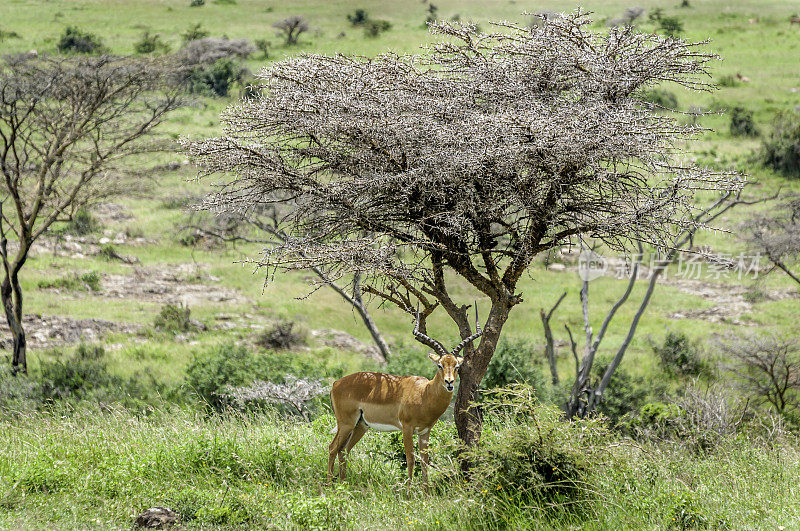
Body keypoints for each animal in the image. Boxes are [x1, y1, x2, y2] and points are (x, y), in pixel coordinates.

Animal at [324, 306, 482, 488]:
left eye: (456, 366)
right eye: (440, 365)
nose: (449, 382)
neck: (423, 393)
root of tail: (336, 383)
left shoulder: (425, 431)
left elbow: (425, 461)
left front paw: (426, 491)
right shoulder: (407, 428)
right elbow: (411, 459)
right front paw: (408, 491)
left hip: (360, 425)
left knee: (343, 450)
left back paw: (343, 484)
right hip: (346, 424)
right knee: (332, 448)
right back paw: (329, 485)